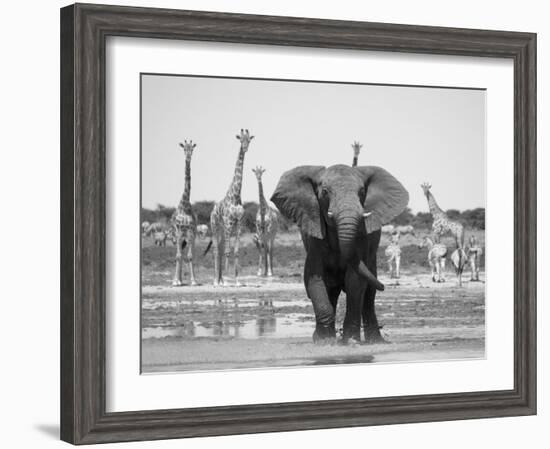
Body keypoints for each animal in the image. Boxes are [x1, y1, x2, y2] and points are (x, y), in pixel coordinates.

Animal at [210, 128, 256, 286]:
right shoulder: (229, 223)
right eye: (241, 139)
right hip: (215, 226)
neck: (235, 196)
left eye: (249, 140)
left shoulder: (239, 223)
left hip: (222, 229)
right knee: (216, 250)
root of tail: (212, 210)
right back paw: (216, 281)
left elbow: (235, 251)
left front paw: (237, 280)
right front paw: (227, 279)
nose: (246, 148)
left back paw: (220, 279)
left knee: (221, 248)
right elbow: (228, 251)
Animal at [272, 164, 410, 344]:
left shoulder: (361, 238)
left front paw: (351, 342)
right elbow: (314, 277)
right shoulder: (314, 237)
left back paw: (375, 341)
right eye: (324, 192)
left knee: (368, 295)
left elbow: (355, 281)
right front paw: (324, 342)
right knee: (332, 290)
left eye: (362, 191)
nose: (385, 286)